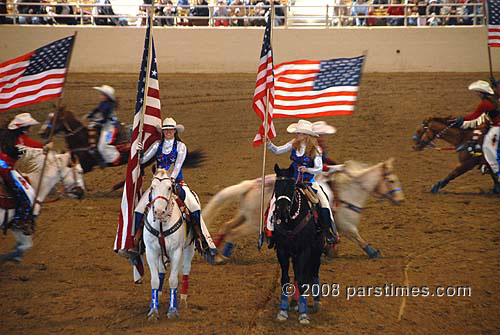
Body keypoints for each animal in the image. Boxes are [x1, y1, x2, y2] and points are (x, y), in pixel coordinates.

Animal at [144, 169, 196, 322]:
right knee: (161, 271)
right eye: (152, 187)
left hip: (189, 248)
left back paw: (183, 300)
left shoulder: (176, 251)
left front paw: (172, 311)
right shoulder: (151, 252)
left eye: (169, 187)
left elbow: (173, 280)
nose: (159, 212)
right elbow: (155, 280)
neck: (161, 224)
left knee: (185, 270)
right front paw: (153, 311)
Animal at [205, 158, 404, 262]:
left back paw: (214, 253)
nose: (401, 200)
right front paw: (374, 252)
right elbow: (358, 237)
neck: (350, 190)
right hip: (255, 224)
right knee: (233, 232)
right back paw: (222, 257)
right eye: (391, 180)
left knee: (226, 226)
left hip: (244, 216)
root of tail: (251, 185)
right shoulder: (346, 225)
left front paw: (329, 252)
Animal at [274, 164, 324, 324]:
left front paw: (303, 315)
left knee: (313, 271)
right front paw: (283, 311)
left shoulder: (304, 250)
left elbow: (302, 280)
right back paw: (294, 303)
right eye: (276, 187)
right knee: (297, 274)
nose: (282, 211)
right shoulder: (282, 250)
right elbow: (285, 279)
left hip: (317, 249)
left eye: (291, 187)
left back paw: (316, 302)